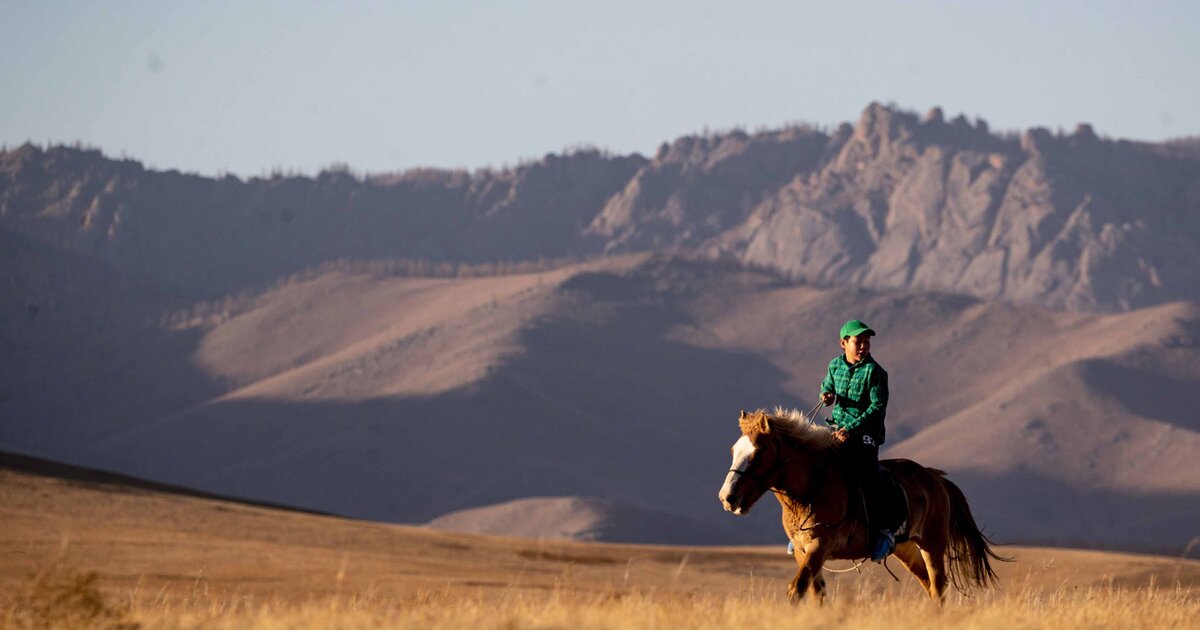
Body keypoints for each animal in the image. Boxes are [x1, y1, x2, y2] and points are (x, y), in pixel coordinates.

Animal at [715, 405, 1008, 602]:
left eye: (758, 453)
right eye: (733, 450)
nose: (727, 498)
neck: (811, 487)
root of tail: (935, 478)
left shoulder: (820, 546)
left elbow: (796, 589)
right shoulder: (802, 550)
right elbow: (815, 592)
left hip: (932, 543)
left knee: (938, 587)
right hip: (906, 548)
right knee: (928, 584)